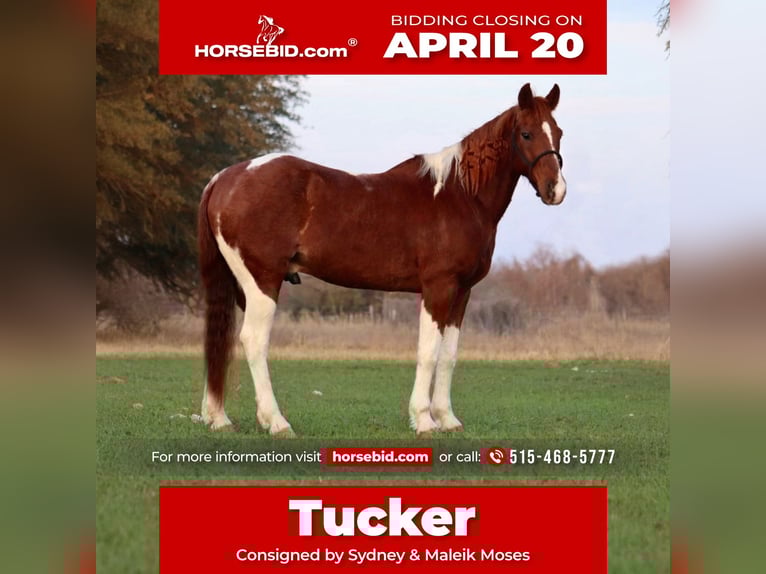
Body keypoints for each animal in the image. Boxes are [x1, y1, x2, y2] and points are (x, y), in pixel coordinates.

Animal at [198, 83, 566, 437]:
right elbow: (428, 352)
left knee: (221, 339)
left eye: (559, 132)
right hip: (262, 281)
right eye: (526, 134)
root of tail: (224, 178)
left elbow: (448, 355)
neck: (461, 195)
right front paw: (424, 420)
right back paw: (276, 422)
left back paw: (219, 418)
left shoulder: (462, 292)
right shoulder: (438, 287)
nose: (555, 190)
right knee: (253, 341)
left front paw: (447, 419)